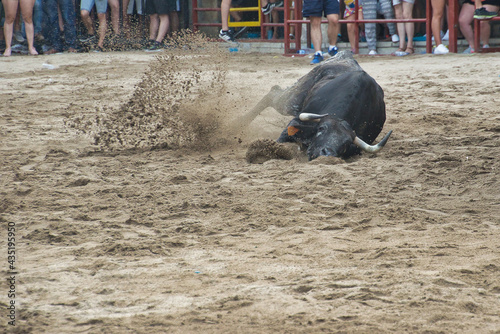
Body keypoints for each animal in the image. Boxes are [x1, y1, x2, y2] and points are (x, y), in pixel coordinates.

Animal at [240, 51, 392, 161]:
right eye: (321, 129)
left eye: (346, 144)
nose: (326, 154)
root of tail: (345, 55)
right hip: (291, 100)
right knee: (273, 94)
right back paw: (238, 123)